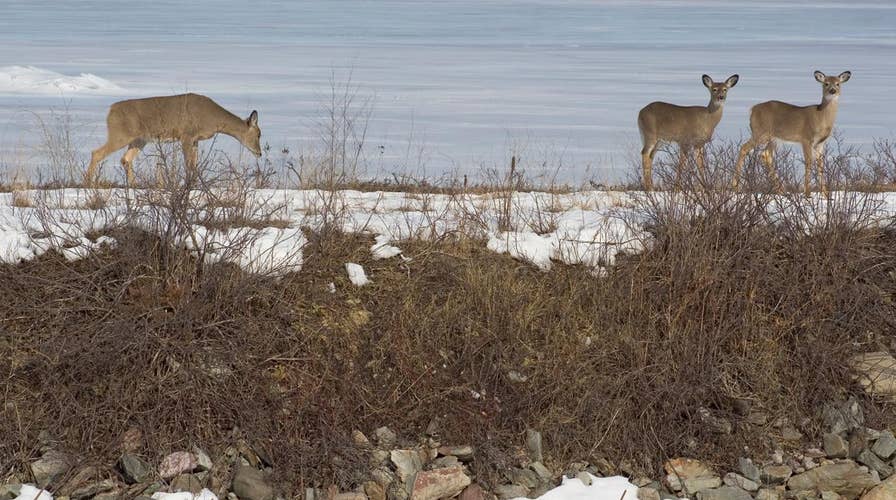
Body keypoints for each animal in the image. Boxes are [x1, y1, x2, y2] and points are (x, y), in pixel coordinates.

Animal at [85, 93, 261, 186]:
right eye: (259, 134)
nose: (259, 153)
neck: (212, 119)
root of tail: (110, 110)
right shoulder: (186, 135)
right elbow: (189, 164)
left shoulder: (195, 139)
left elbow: (194, 164)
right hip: (120, 134)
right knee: (96, 153)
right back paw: (89, 183)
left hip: (139, 139)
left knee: (125, 159)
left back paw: (134, 185)